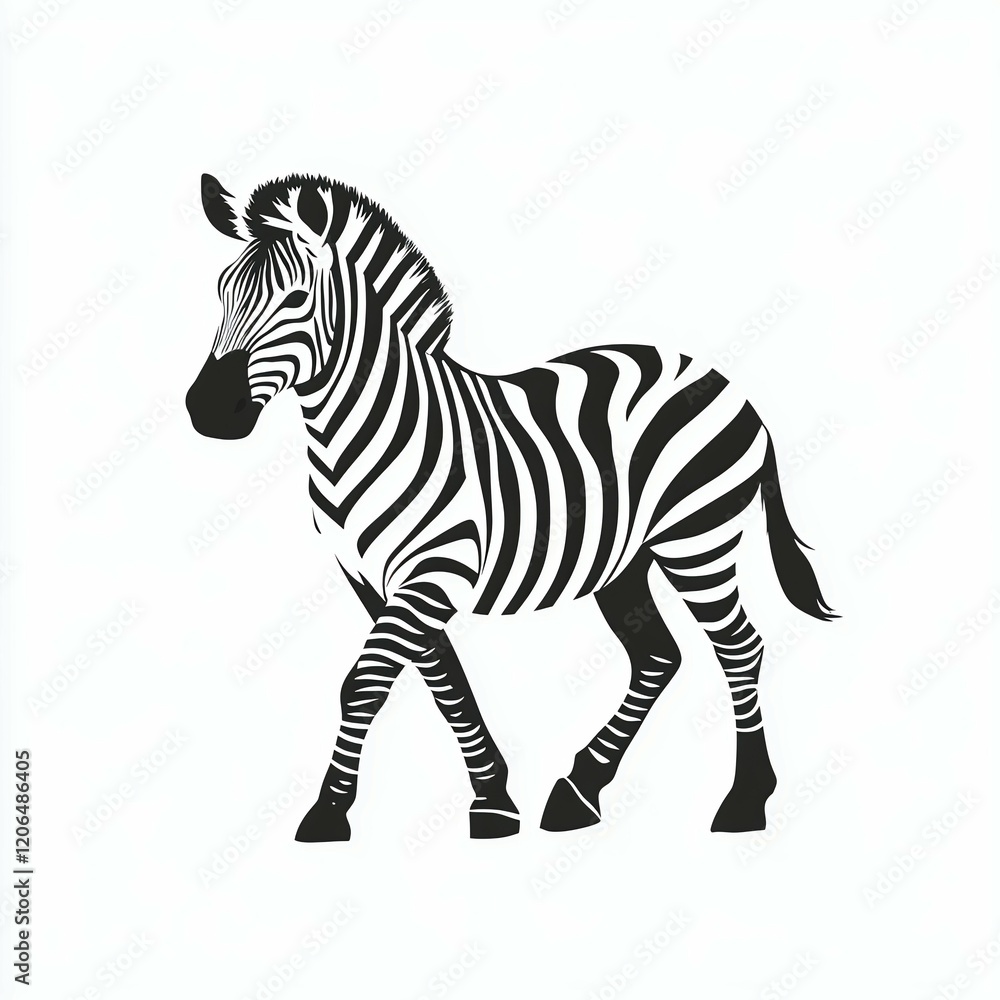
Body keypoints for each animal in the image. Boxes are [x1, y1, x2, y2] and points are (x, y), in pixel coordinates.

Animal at [186, 172, 837, 842]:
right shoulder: (372, 579)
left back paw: (745, 801)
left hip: (698, 540)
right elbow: (442, 678)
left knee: (740, 646)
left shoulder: (435, 568)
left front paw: (329, 810)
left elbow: (365, 684)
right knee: (659, 655)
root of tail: (720, 379)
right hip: (625, 560)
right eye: (220, 290)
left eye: (296, 299)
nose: (205, 410)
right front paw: (493, 798)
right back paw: (579, 791)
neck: (363, 434)